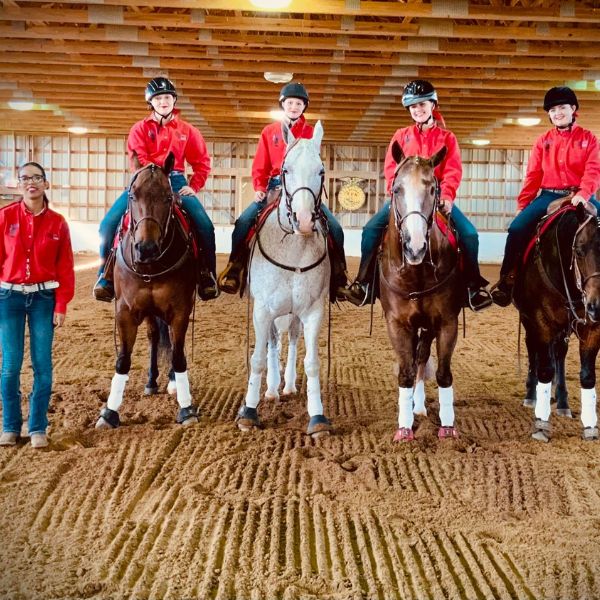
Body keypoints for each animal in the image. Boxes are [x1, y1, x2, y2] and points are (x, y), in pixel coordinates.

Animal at [95, 152, 199, 428]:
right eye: (132, 196)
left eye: (168, 197)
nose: (146, 248)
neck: (151, 265)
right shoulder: (125, 311)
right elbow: (123, 360)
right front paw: (109, 412)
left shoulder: (180, 310)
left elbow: (178, 355)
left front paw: (186, 408)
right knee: (153, 337)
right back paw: (152, 381)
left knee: (171, 343)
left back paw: (172, 383)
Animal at [236, 119, 332, 438]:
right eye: (285, 170)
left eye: (321, 171)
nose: (303, 220)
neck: (294, 250)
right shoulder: (263, 310)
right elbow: (257, 358)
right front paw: (249, 411)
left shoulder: (313, 311)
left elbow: (312, 362)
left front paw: (317, 417)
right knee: (273, 343)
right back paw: (272, 390)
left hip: (293, 313)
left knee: (290, 340)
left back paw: (287, 385)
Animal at [380, 145, 464, 440]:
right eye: (397, 189)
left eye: (432, 189)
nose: (414, 247)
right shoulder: (396, 324)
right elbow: (405, 373)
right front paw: (404, 428)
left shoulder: (446, 322)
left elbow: (443, 373)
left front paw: (448, 426)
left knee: (422, 356)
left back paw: (420, 406)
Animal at [510, 202, 600, 440]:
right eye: (579, 251)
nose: (597, 305)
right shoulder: (540, 322)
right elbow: (544, 369)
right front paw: (541, 424)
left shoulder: (592, 327)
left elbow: (588, 375)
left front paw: (590, 426)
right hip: (530, 321)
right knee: (533, 350)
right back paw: (531, 394)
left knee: (559, 354)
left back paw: (562, 401)